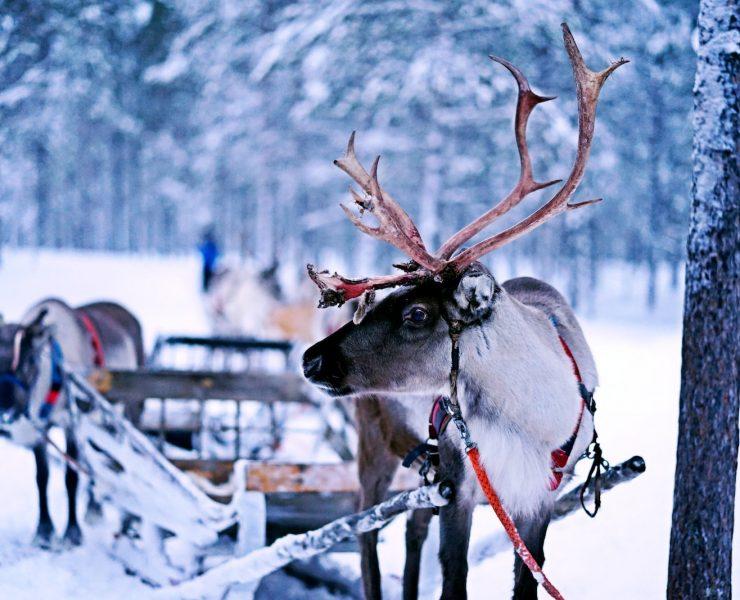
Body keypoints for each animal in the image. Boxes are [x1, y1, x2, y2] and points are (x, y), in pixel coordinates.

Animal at [301, 24, 626, 600]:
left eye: (415, 314)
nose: (311, 359)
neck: (529, 421)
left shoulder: (537, 496)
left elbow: (528, 577)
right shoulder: (460, 482)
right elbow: (454, 576)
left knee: (409, 527)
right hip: (373, 447)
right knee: (365, 527)